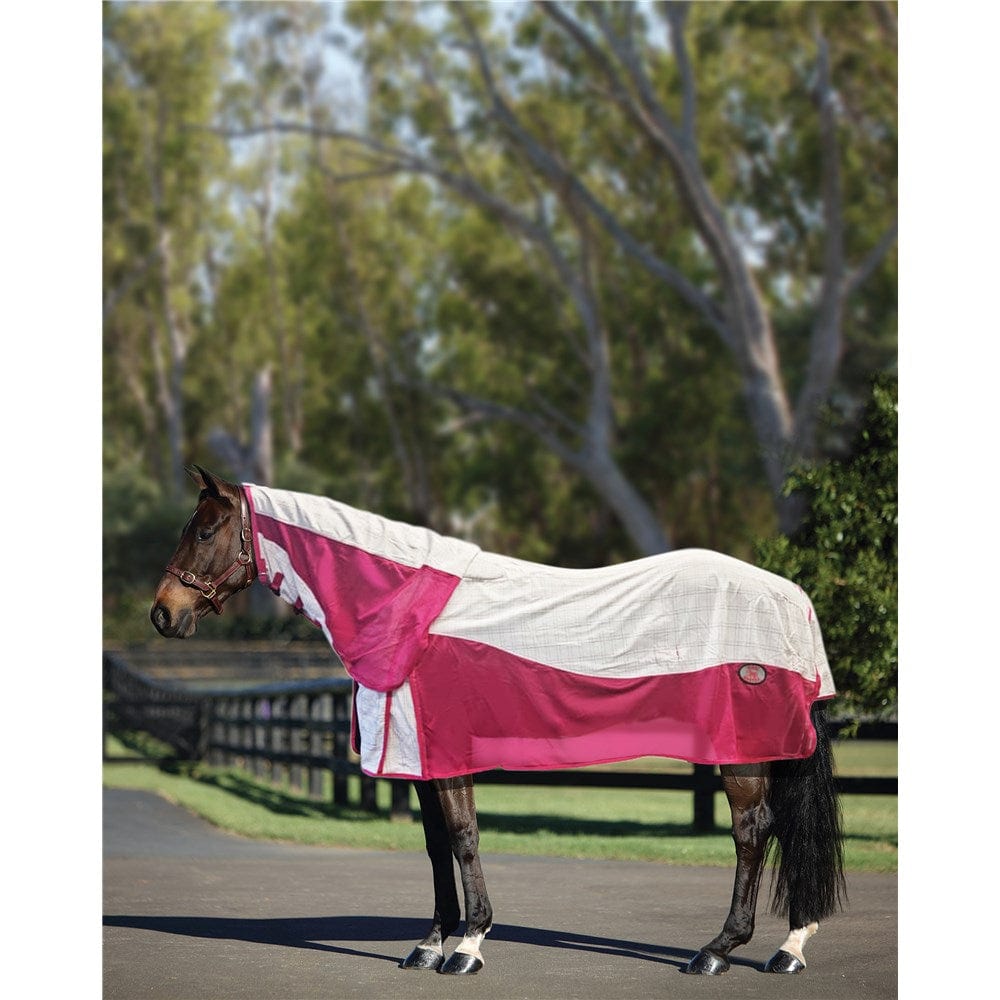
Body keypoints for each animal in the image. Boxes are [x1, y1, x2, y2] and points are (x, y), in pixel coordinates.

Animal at [150, 465, 845, 977]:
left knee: (753, 832)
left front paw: (468, 946)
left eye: (206, 532)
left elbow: (464, 838)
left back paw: (719, 952)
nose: (162, 613)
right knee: (782, 829)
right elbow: (434, 845)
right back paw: (789, 947)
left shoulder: (448, 753)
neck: (407, 609)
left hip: (741, 751)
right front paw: (429, 943)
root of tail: (794, 598)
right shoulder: (420, 757)